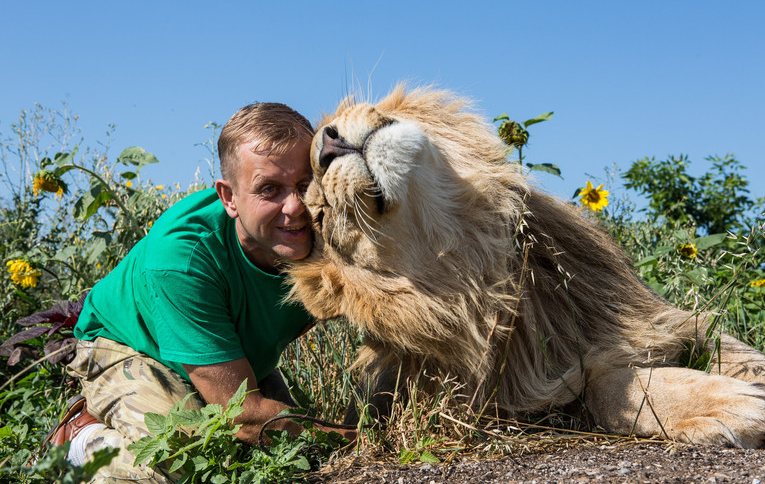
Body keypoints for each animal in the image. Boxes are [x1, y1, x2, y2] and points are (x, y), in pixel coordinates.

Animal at [288, 85, 765, 448]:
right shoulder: (524, 395)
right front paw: (734, 405)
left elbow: (736, 351)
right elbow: (607, 390)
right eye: (323, 218)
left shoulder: (659, 318)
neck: (482, 253)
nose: (327, 146)